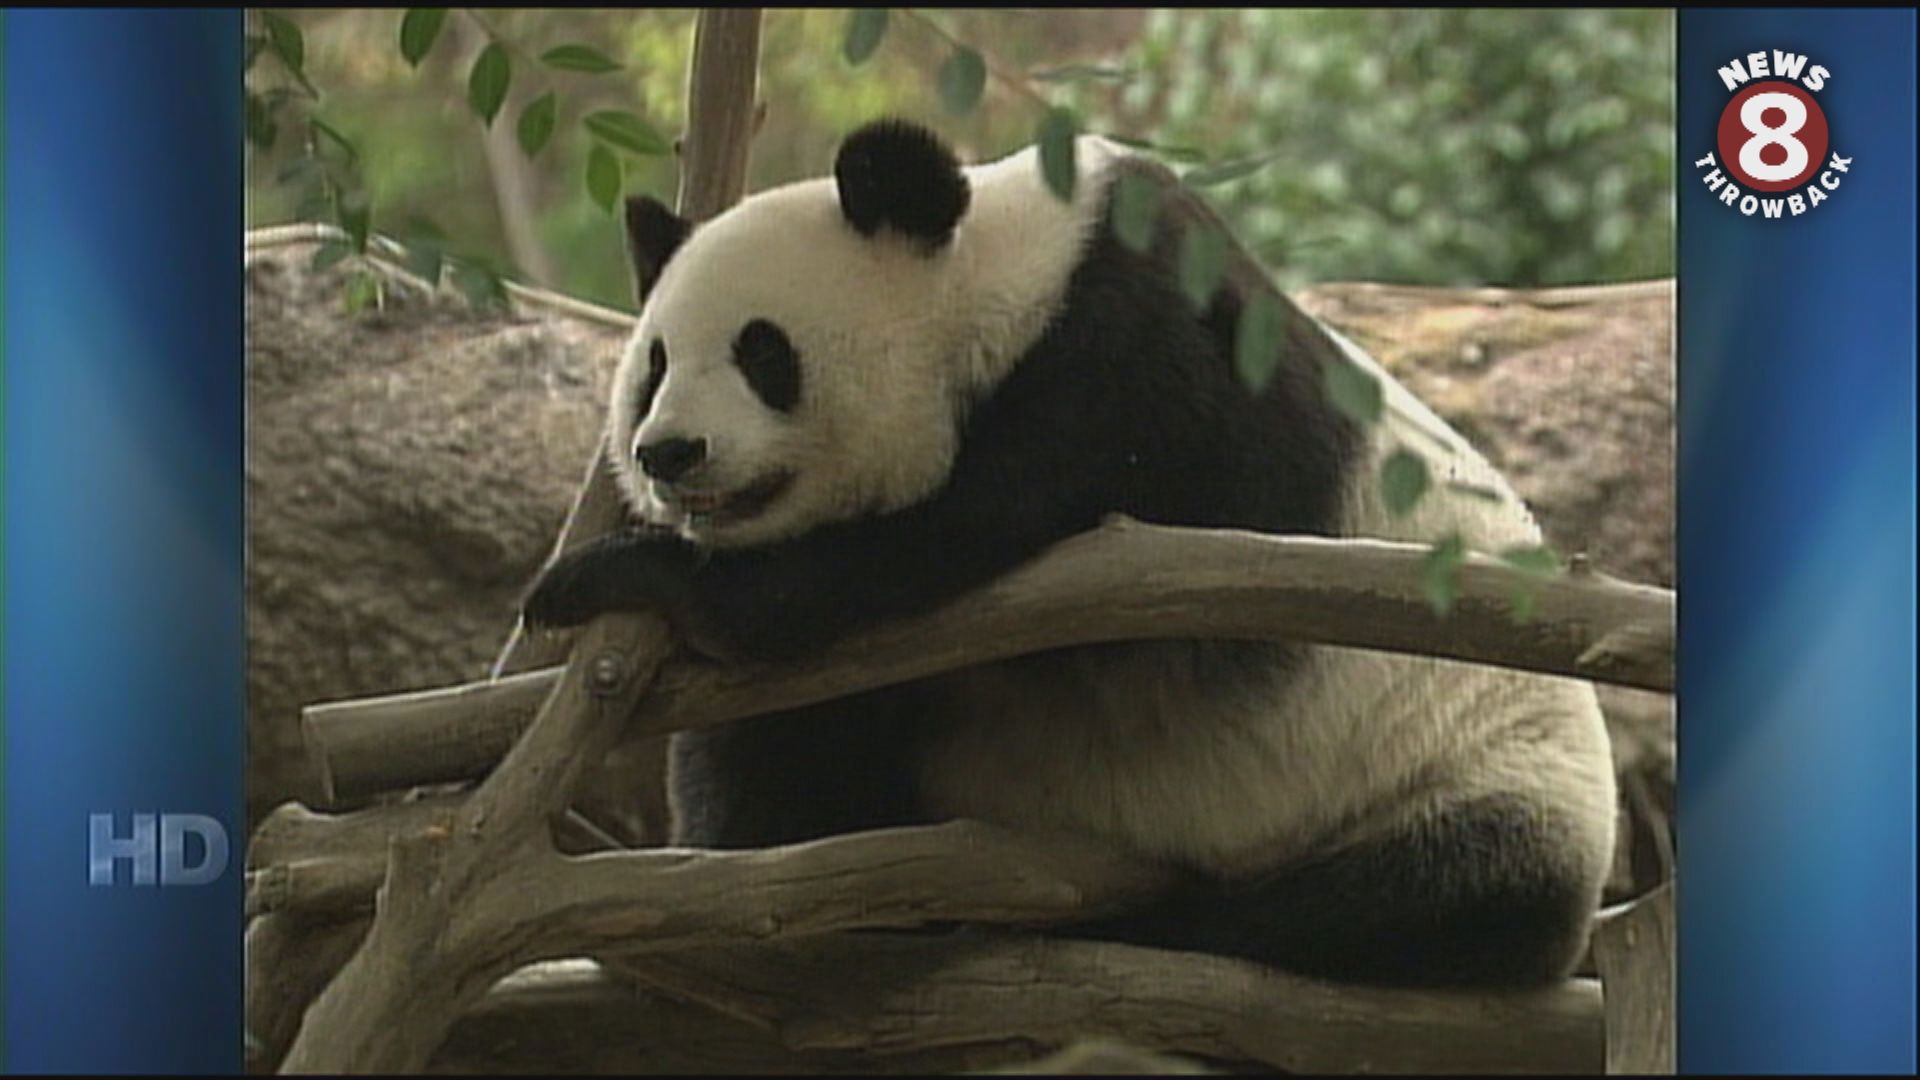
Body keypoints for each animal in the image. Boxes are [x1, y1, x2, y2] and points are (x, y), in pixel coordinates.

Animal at [529, 115, 1620, 983]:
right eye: (654, 366)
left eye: (763, 353)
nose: (667, 453)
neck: (999, 283)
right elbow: (796, 748)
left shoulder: (1138, 367)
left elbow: (935, 548)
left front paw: (614, 575)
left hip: (1474, 770)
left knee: (1421, 896)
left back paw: (1162, 919)